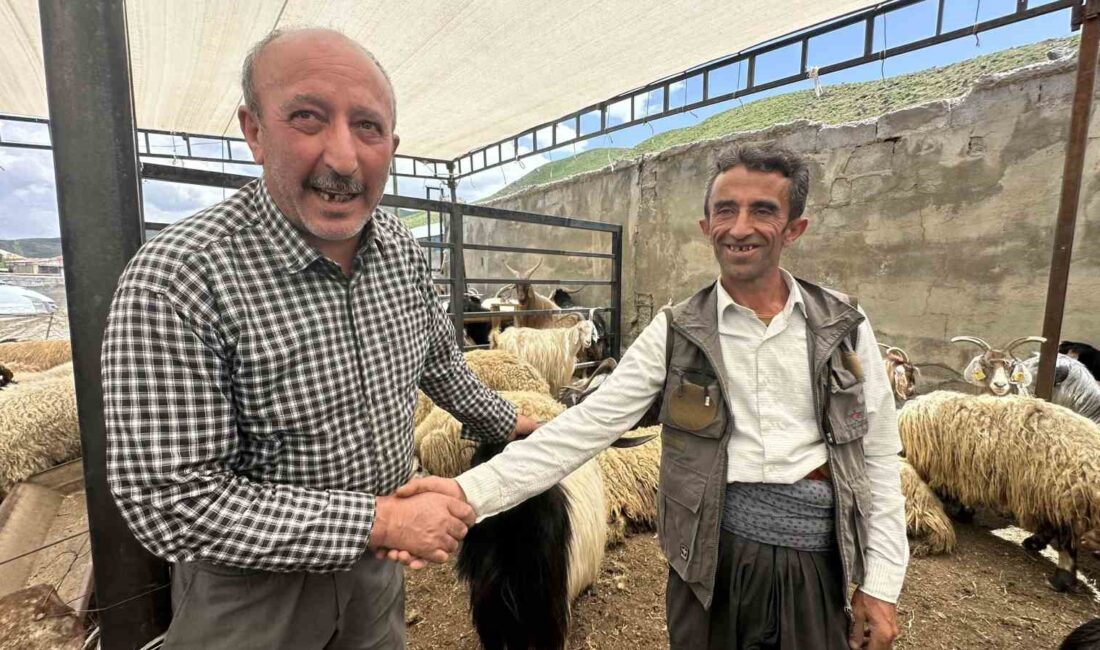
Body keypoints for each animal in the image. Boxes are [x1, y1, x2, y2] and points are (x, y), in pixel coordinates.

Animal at [897, 389, 1100, 593]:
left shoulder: (946, 469)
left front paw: (962, 513)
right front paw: (965, 513)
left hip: (1065, 498)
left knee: (1066, 541)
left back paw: (1060, 579)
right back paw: (1034, 543)